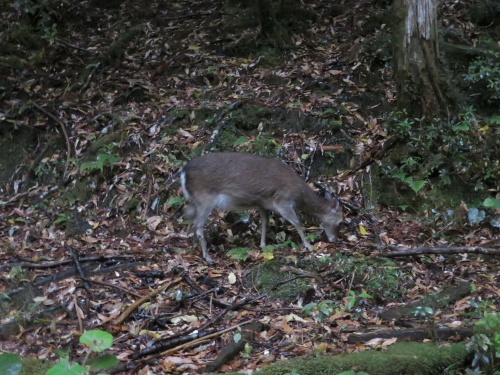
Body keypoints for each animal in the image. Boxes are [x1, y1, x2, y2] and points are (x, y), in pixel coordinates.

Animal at [181, 153, 344, 264]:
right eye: (341, 221)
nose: (335, 239)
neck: (300, 195)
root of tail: (183, 171)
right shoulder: (283, 201)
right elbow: (297, 223)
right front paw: (309, 247)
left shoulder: (262, 203)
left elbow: (265, 222)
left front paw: (264, 245)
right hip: (205, 198)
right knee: (198, 225)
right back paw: (208, 258)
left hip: (195, 200)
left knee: (189, 219)